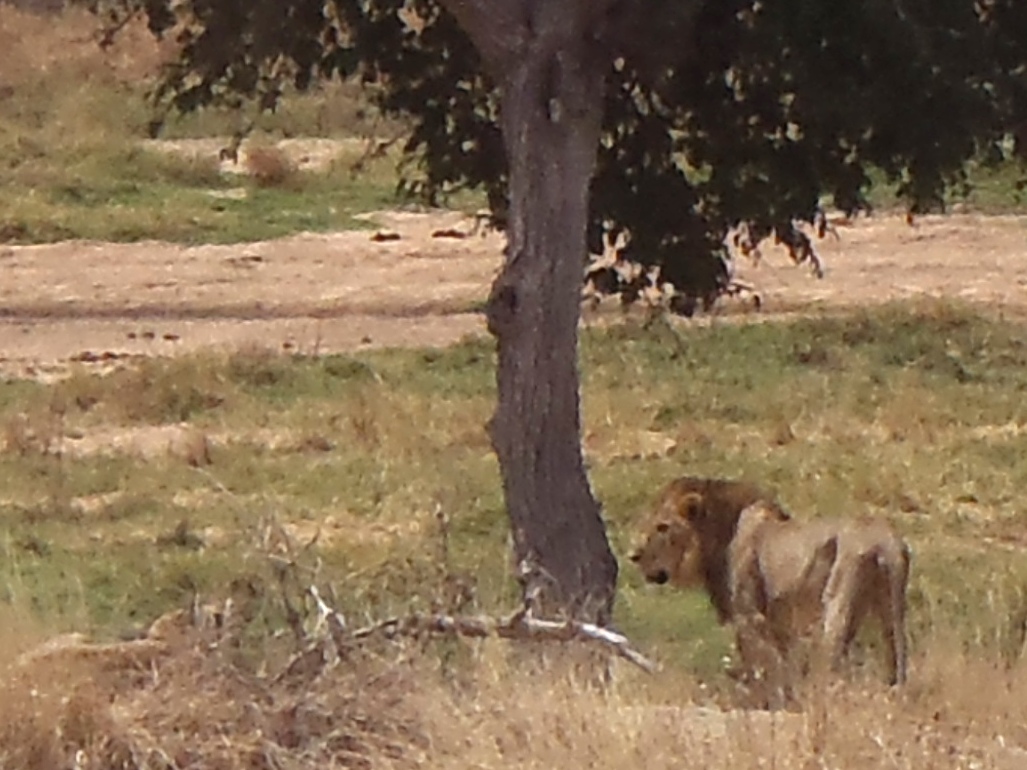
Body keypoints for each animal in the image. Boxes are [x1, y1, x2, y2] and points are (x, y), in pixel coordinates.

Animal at [628, 480, 911, 698]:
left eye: (663, 527)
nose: (633, 555)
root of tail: (887, 542)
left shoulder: (749, 616)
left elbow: (758, 669)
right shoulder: (778, 624)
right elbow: (785, 669)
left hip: (837, 603)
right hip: (889, 609)